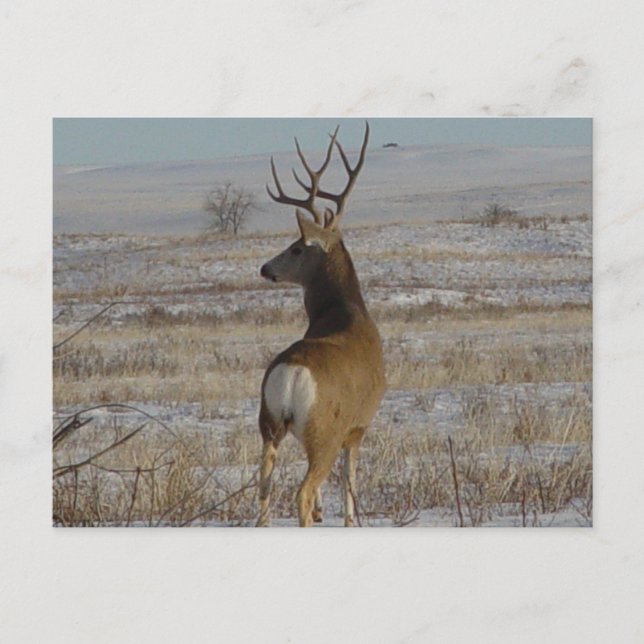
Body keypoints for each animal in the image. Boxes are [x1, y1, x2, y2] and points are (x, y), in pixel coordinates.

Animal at [257, 123, 385, 527]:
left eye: (296, 247)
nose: (265, 268)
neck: (344, 311)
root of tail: (291, 373)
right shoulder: (358, 426)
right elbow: (350, 482)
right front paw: (349, 520)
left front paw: (323, 512)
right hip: (323, 431)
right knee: (303, 489)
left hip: (268, 424)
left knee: (263, 487)